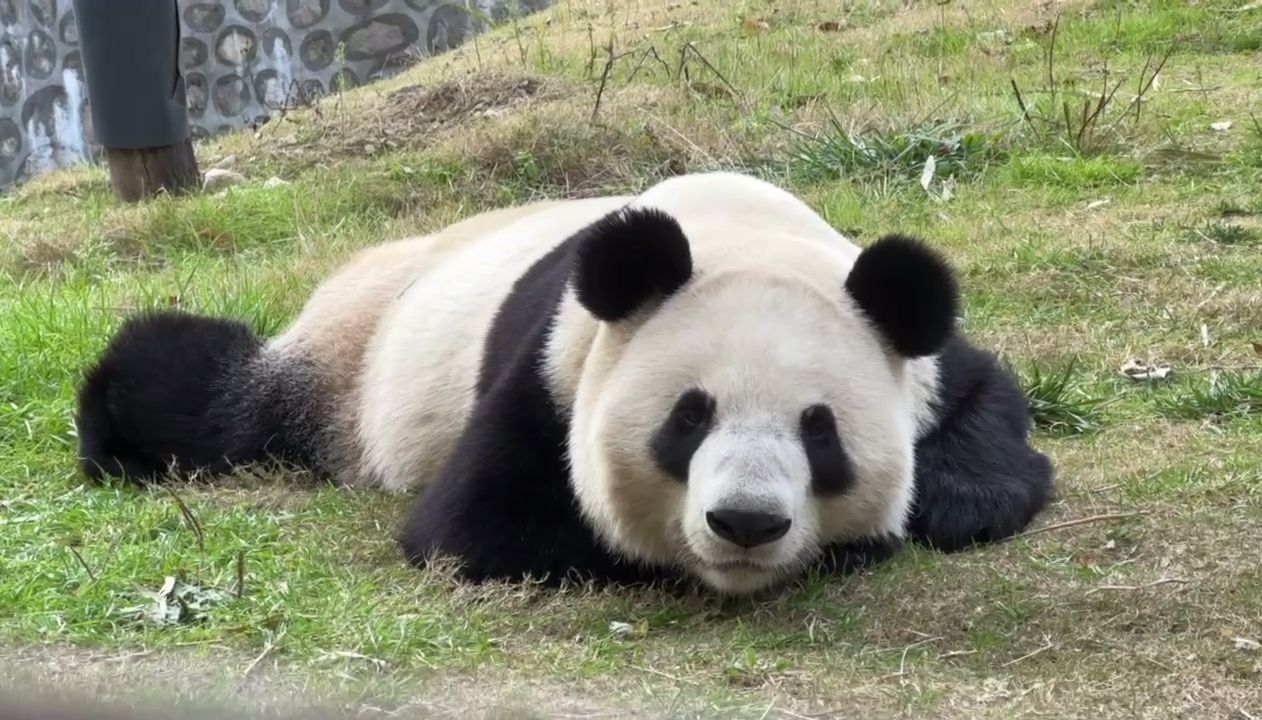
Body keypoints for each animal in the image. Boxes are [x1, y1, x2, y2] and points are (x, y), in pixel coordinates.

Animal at [75, 171, 1053, 596]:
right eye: (688, 419)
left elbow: (986, 412)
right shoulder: (557, 363)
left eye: (821, 431)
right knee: (213, 402)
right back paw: (111, 422)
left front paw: (943, 504)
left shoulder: (905, 338)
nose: (745, 523)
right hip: (348, 364)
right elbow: (481, 524)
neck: (739, 239)